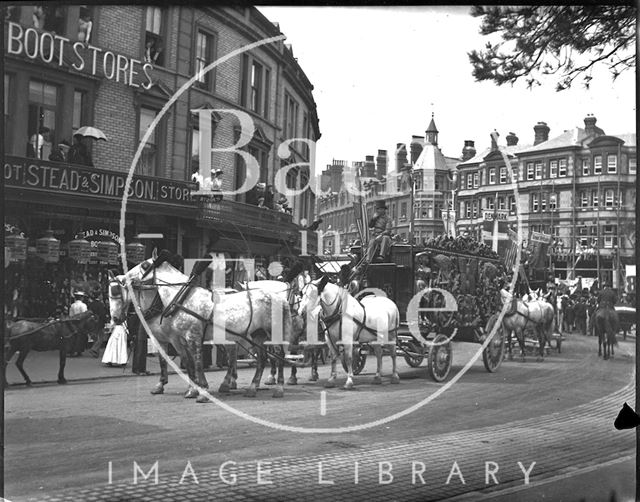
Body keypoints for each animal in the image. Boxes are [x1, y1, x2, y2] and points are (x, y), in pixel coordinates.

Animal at [107, 251, 292, 400]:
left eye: (144, 265)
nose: (123, 278)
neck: (179, 300)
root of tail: (278, 297)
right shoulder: (176, 339)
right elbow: (187, 363)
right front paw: (191, 389)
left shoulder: (191, 337)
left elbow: (196, 362)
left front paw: (201, 390)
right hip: (257, 334)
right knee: (261, 359)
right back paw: (251, 388)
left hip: (272, 332)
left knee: (278, 356)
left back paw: (278, 388)